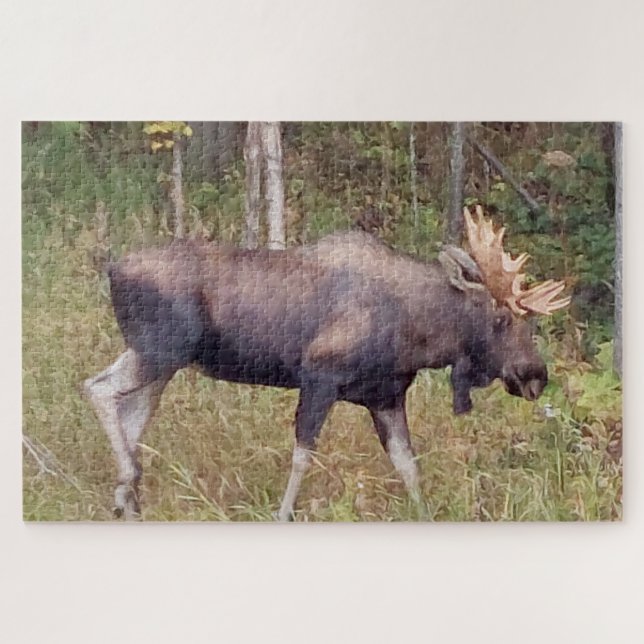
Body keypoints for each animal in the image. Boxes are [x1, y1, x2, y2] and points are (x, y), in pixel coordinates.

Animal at [83, 206, 569, 520]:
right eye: (502, 318)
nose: (535, 376)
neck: (419, 333)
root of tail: (111, 269)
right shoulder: (319, 377)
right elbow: (303, 456)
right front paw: (282, 515)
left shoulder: (385, 396)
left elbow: (408, 466)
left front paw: (426, 515)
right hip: (160, 350)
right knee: (98, 388)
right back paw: (128, 482)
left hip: (161, 361)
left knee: (130, 411)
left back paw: (127, 500)